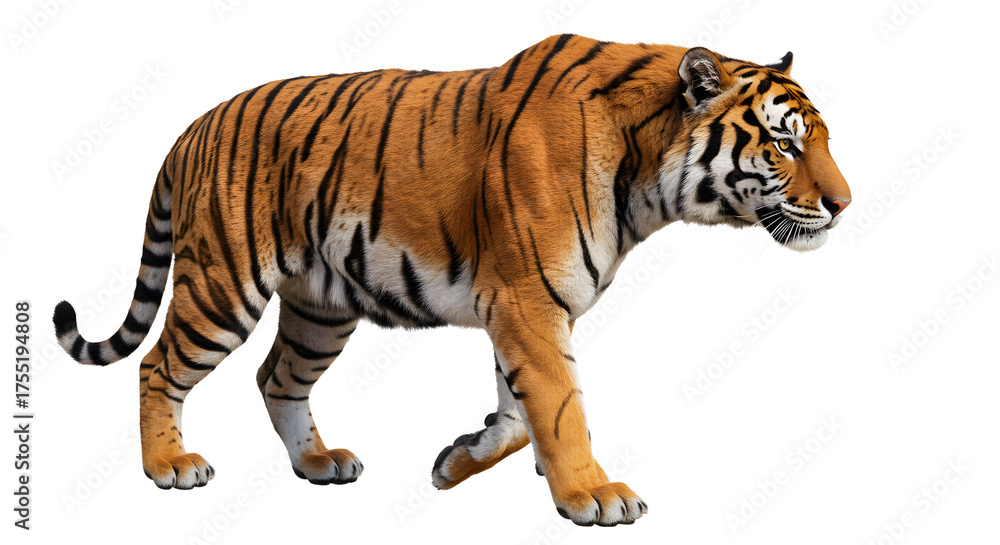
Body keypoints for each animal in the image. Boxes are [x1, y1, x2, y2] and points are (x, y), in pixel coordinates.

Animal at [53, 33, 850, 526]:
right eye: (784, 145)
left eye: (822, 138)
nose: (845, 204)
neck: (646, 169)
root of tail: (192, 127)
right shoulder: (528, 300)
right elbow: (561, 407)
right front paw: (593, 494)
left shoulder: (525, 304)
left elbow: (521, 411)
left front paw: (458, 461)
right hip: (223, 283)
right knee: (158, 364)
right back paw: (169, 464)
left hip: (320, 309)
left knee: (277, 377)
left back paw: (317, 461)